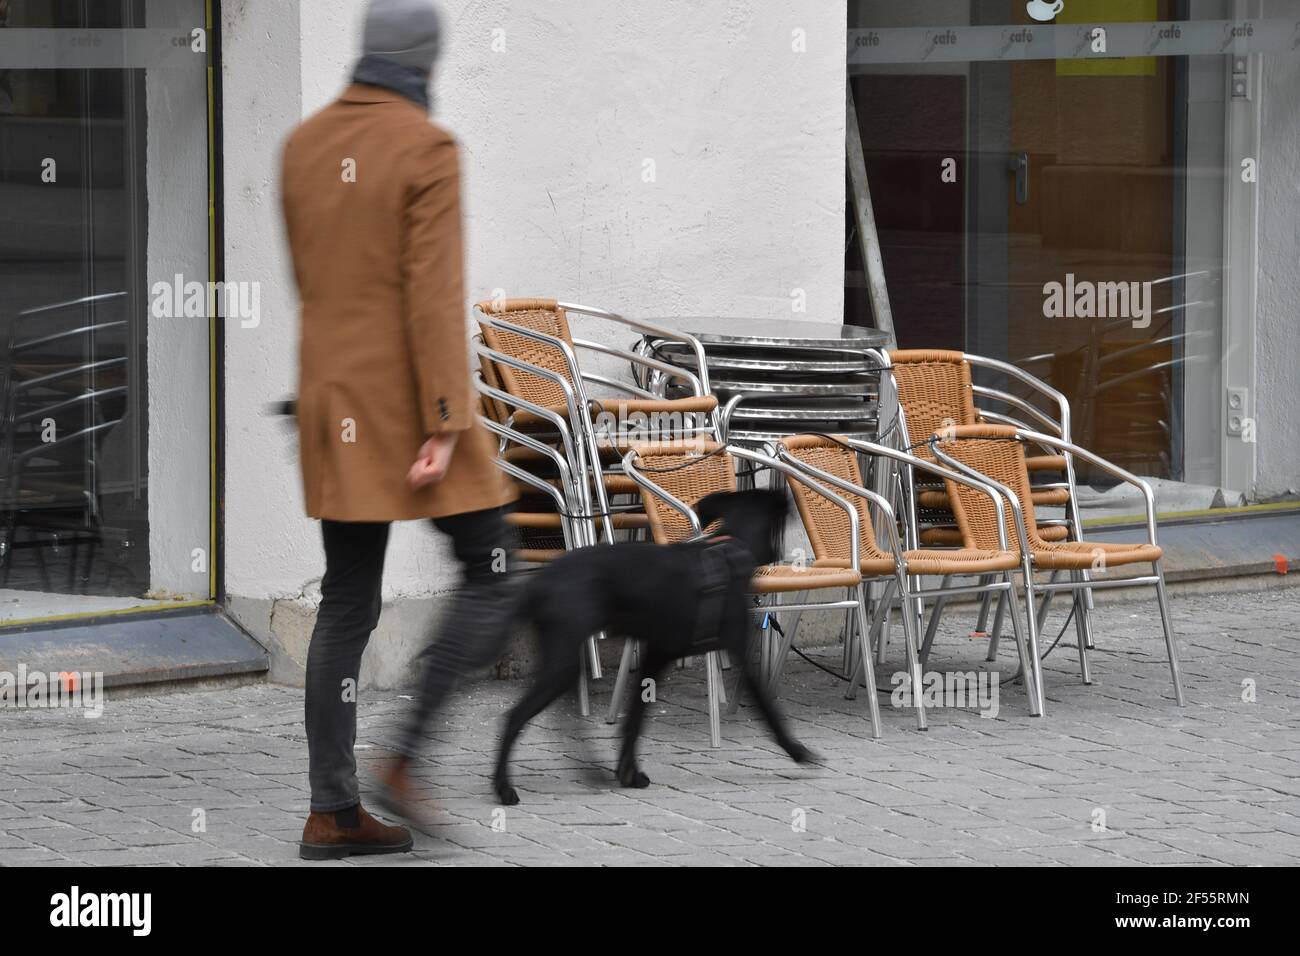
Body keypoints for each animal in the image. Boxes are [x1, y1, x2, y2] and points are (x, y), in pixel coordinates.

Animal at [493, 486, 811, 806]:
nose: (777, 555)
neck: (730, 548)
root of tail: (539, 583)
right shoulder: (729, 650)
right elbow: (766, 704)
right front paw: (796, 750)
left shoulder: (655, 655)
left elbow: (635, 719)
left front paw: (627, 772)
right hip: (562, 663)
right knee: (515, 716)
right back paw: (504, 787)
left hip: (565, 657)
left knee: (561, 718)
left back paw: (588, 768)